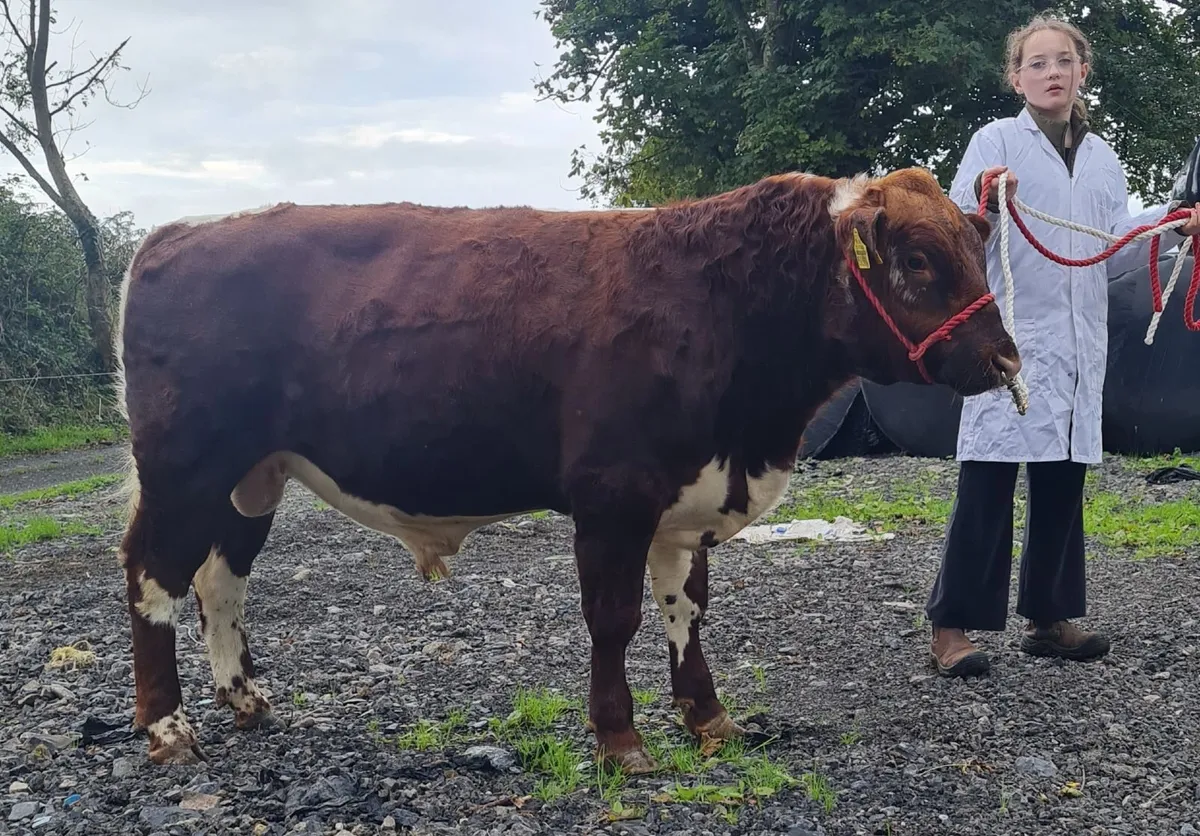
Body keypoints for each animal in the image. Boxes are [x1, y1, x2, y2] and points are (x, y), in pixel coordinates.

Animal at [112, 166, 1021, 771]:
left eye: (975, 244)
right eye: (915, 258)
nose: (1003, 359)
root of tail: (179, 230)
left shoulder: (686, 502)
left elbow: (687, 611)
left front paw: (707, 716)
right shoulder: (612, 496)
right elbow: (614, 619)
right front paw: (620, 738)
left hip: (253, 476)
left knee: (220, 579)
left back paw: (244, 697)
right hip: (186, 467)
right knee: (154, 577)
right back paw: (166, 727)